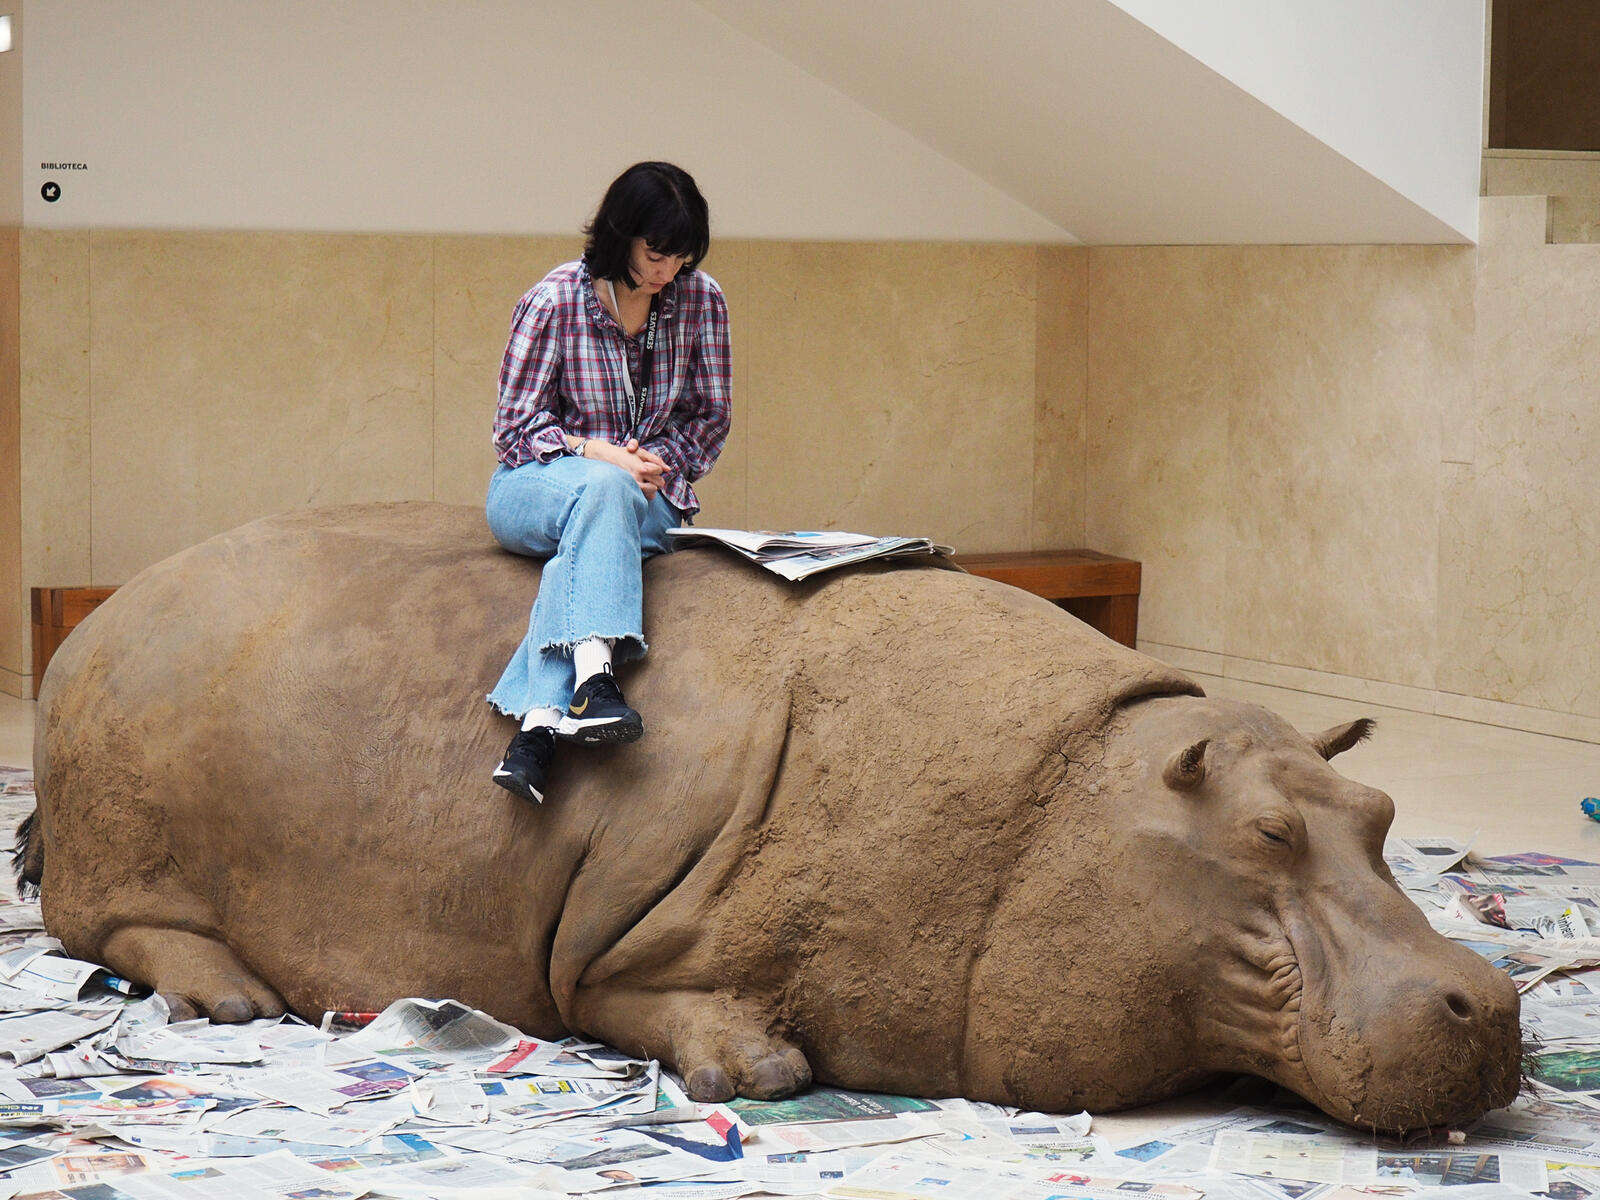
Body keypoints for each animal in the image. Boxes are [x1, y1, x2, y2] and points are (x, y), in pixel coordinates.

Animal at [21, 502, 1520, 1131]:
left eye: (1380, 809)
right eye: (1264, 837)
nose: (1495, 1002)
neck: (1071, 804)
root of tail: (98, 617)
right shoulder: (607, 960)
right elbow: (676, 1014)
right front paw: (756, 1066)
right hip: (113, 846)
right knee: (102, 923)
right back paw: (233, 1003)